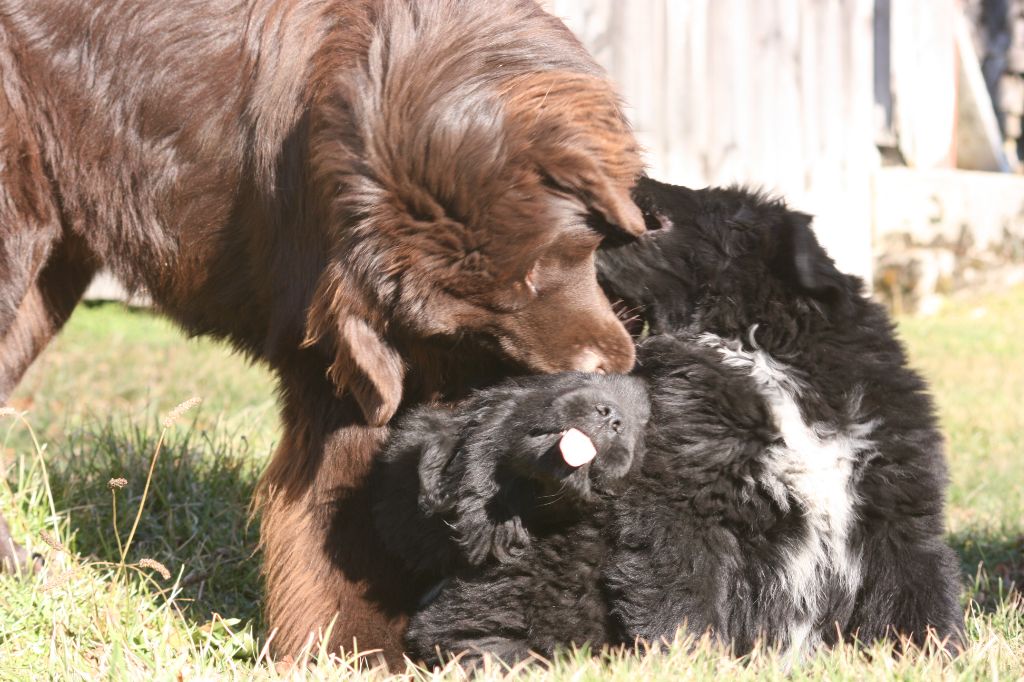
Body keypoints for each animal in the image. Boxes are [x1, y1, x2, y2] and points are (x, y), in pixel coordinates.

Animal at [0, 0, 638, 659]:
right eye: (488, 309)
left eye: (541, 266)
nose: (598, 377)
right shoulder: (343, 370)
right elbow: (347, 503)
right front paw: (362, 648)